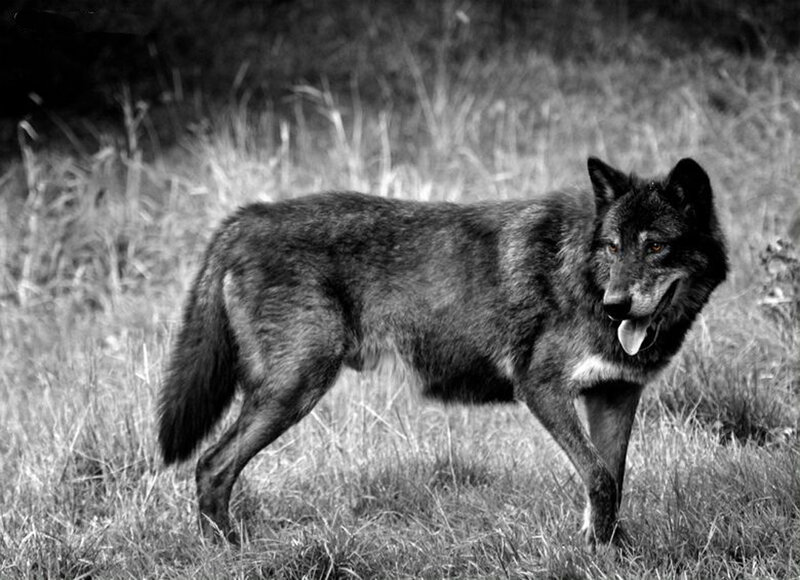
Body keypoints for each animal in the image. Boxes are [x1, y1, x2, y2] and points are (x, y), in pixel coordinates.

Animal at [157, 157, 727, 546]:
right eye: (612, 246)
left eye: (655, 246)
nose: (616, 306)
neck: (583, 276)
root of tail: (245, 218)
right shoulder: (541, 388)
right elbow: (598, 477)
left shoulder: (614, 395)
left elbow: (612, 480)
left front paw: (608, 552)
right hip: (294, 390)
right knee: (211, 465)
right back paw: (229, 551)